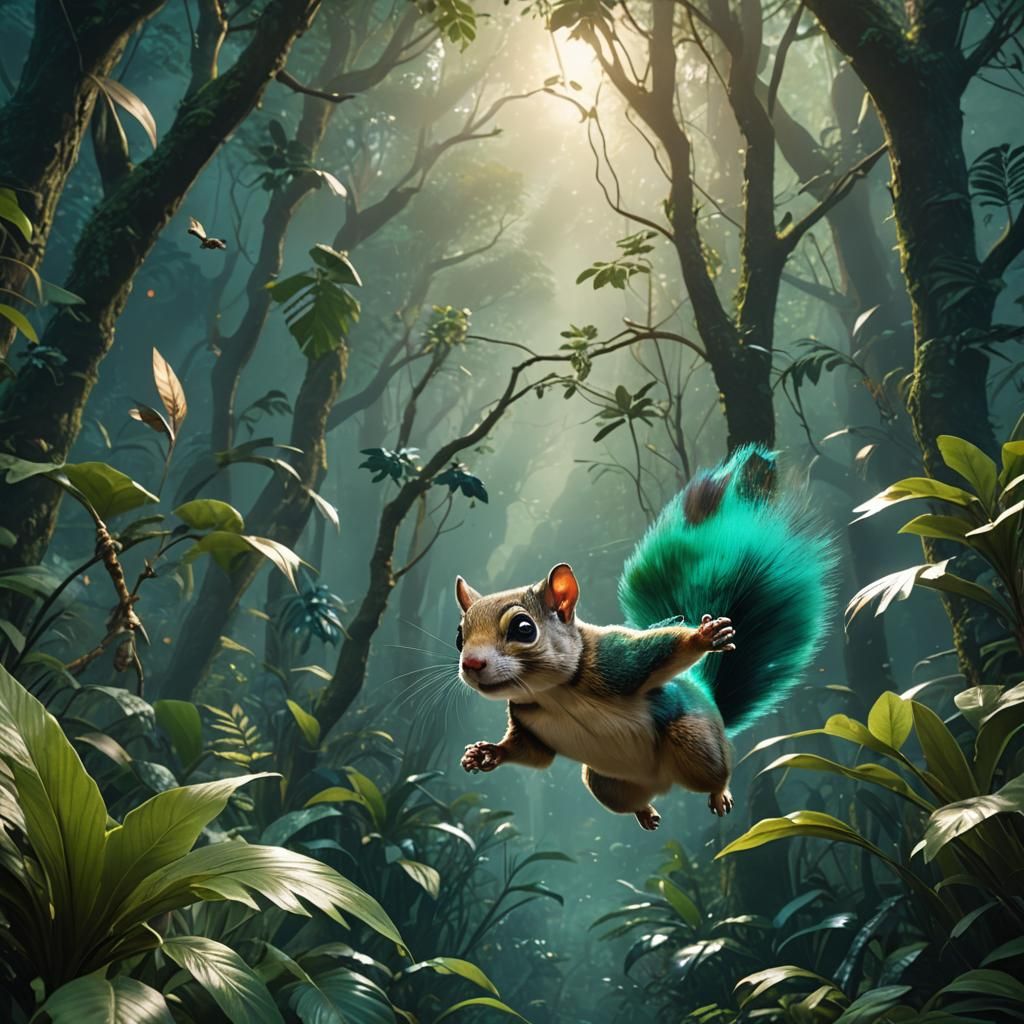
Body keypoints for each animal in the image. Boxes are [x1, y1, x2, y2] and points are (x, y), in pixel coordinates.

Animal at [454, 445, 836, 831]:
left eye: (523, 629)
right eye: (459, 637)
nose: (471, 664)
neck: (554, 692)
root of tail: (664, 782)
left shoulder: (616, 661)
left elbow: (662, 650)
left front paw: (704, 636)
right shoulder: (530, 722)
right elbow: (533, 753)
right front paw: (486, 753)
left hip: (696, 741)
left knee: (714, 772)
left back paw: (719, 793)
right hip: (605, 782)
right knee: (629, 798)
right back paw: (645, 812)